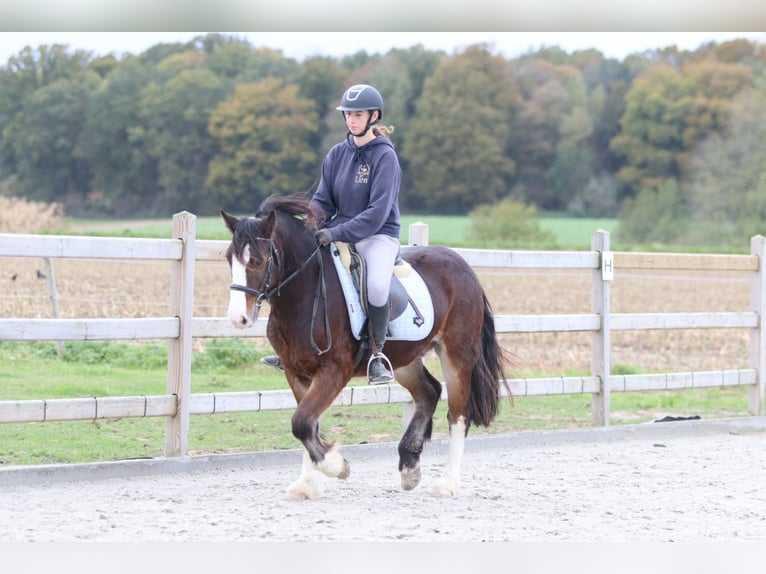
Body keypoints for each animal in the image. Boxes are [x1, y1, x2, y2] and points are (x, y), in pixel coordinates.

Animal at [222, 192, 511, 499]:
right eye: (229, 259)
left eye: (257, 260)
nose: (237, 318)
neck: (306, 294)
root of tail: (464, 266)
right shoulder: (295, 371)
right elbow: (308, 424)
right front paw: (308, 483)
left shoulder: (334, 371)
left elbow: (302, 423)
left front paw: (337, 466)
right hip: (404, 359)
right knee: (429, 392)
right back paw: (410, 468)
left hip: (456, 355)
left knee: (458, 415)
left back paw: (447, 484)